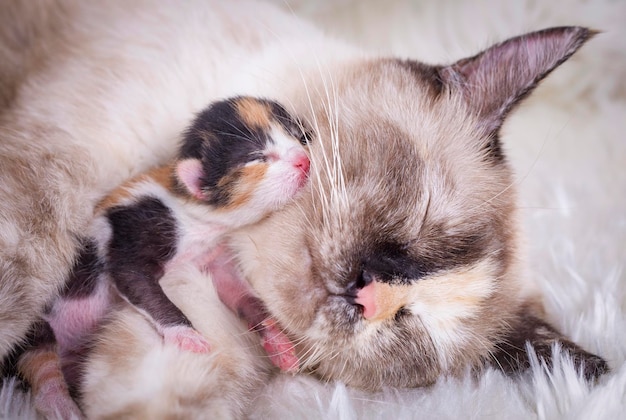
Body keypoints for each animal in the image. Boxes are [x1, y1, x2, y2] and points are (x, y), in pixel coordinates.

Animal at [18, 97, 310, 418]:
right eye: (258, 157)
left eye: (300, 137)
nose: (304, 160)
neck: (197, 215)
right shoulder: (131, 234)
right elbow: (139, 283)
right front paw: (187, 336)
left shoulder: (211, 258)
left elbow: (240, 294)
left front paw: (278, 343)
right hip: (35, 327)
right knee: (39, 362)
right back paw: (61, 405)